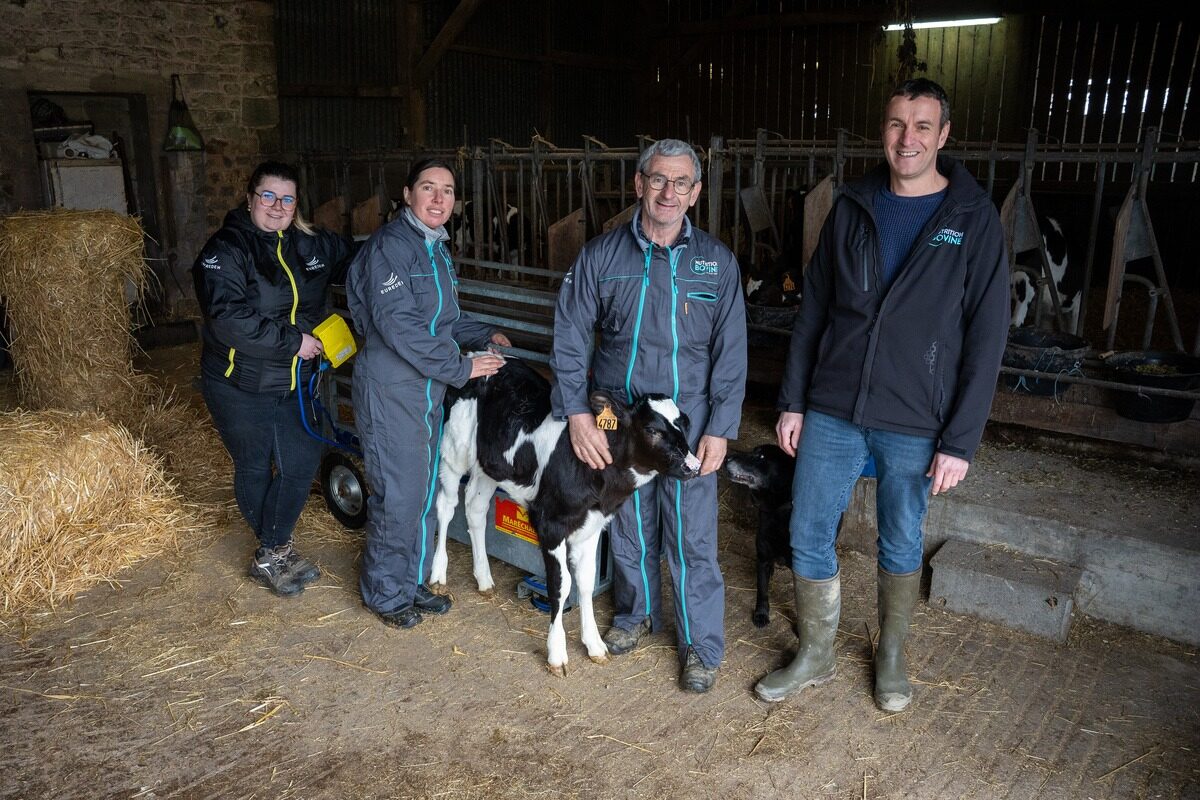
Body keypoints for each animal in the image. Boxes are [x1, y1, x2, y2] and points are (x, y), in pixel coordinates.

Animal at [432, 359, 700, 681]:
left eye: (685, 423)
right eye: (652, 430)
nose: (693, 465)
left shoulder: (593, 524)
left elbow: (585, 581)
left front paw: (594, 644)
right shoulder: (550, 524)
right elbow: (561, 584)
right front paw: (557, 653)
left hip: (490, 464)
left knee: (475, 507)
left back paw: (484, 578)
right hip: (453, 450)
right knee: (447, 506)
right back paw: (438, 575)